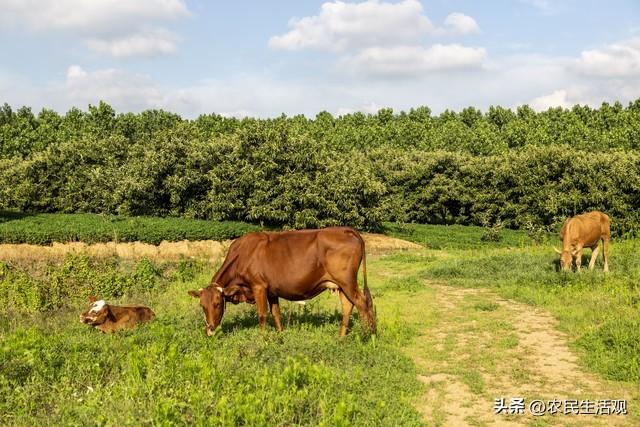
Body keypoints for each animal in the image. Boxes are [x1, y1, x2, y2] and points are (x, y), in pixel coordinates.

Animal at [188, 227, 376, 338]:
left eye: (218, 304)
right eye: (202, 306)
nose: (210, 329)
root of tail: (344, 230)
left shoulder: (259, 286)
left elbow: (262, 315)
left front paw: (263, 339)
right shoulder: (272, 291)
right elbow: (276, 313)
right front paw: (280, 334)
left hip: (348, 282)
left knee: (362, 303)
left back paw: (366, 335)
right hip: (341, 285)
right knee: (348, 306)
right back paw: (341, 337)